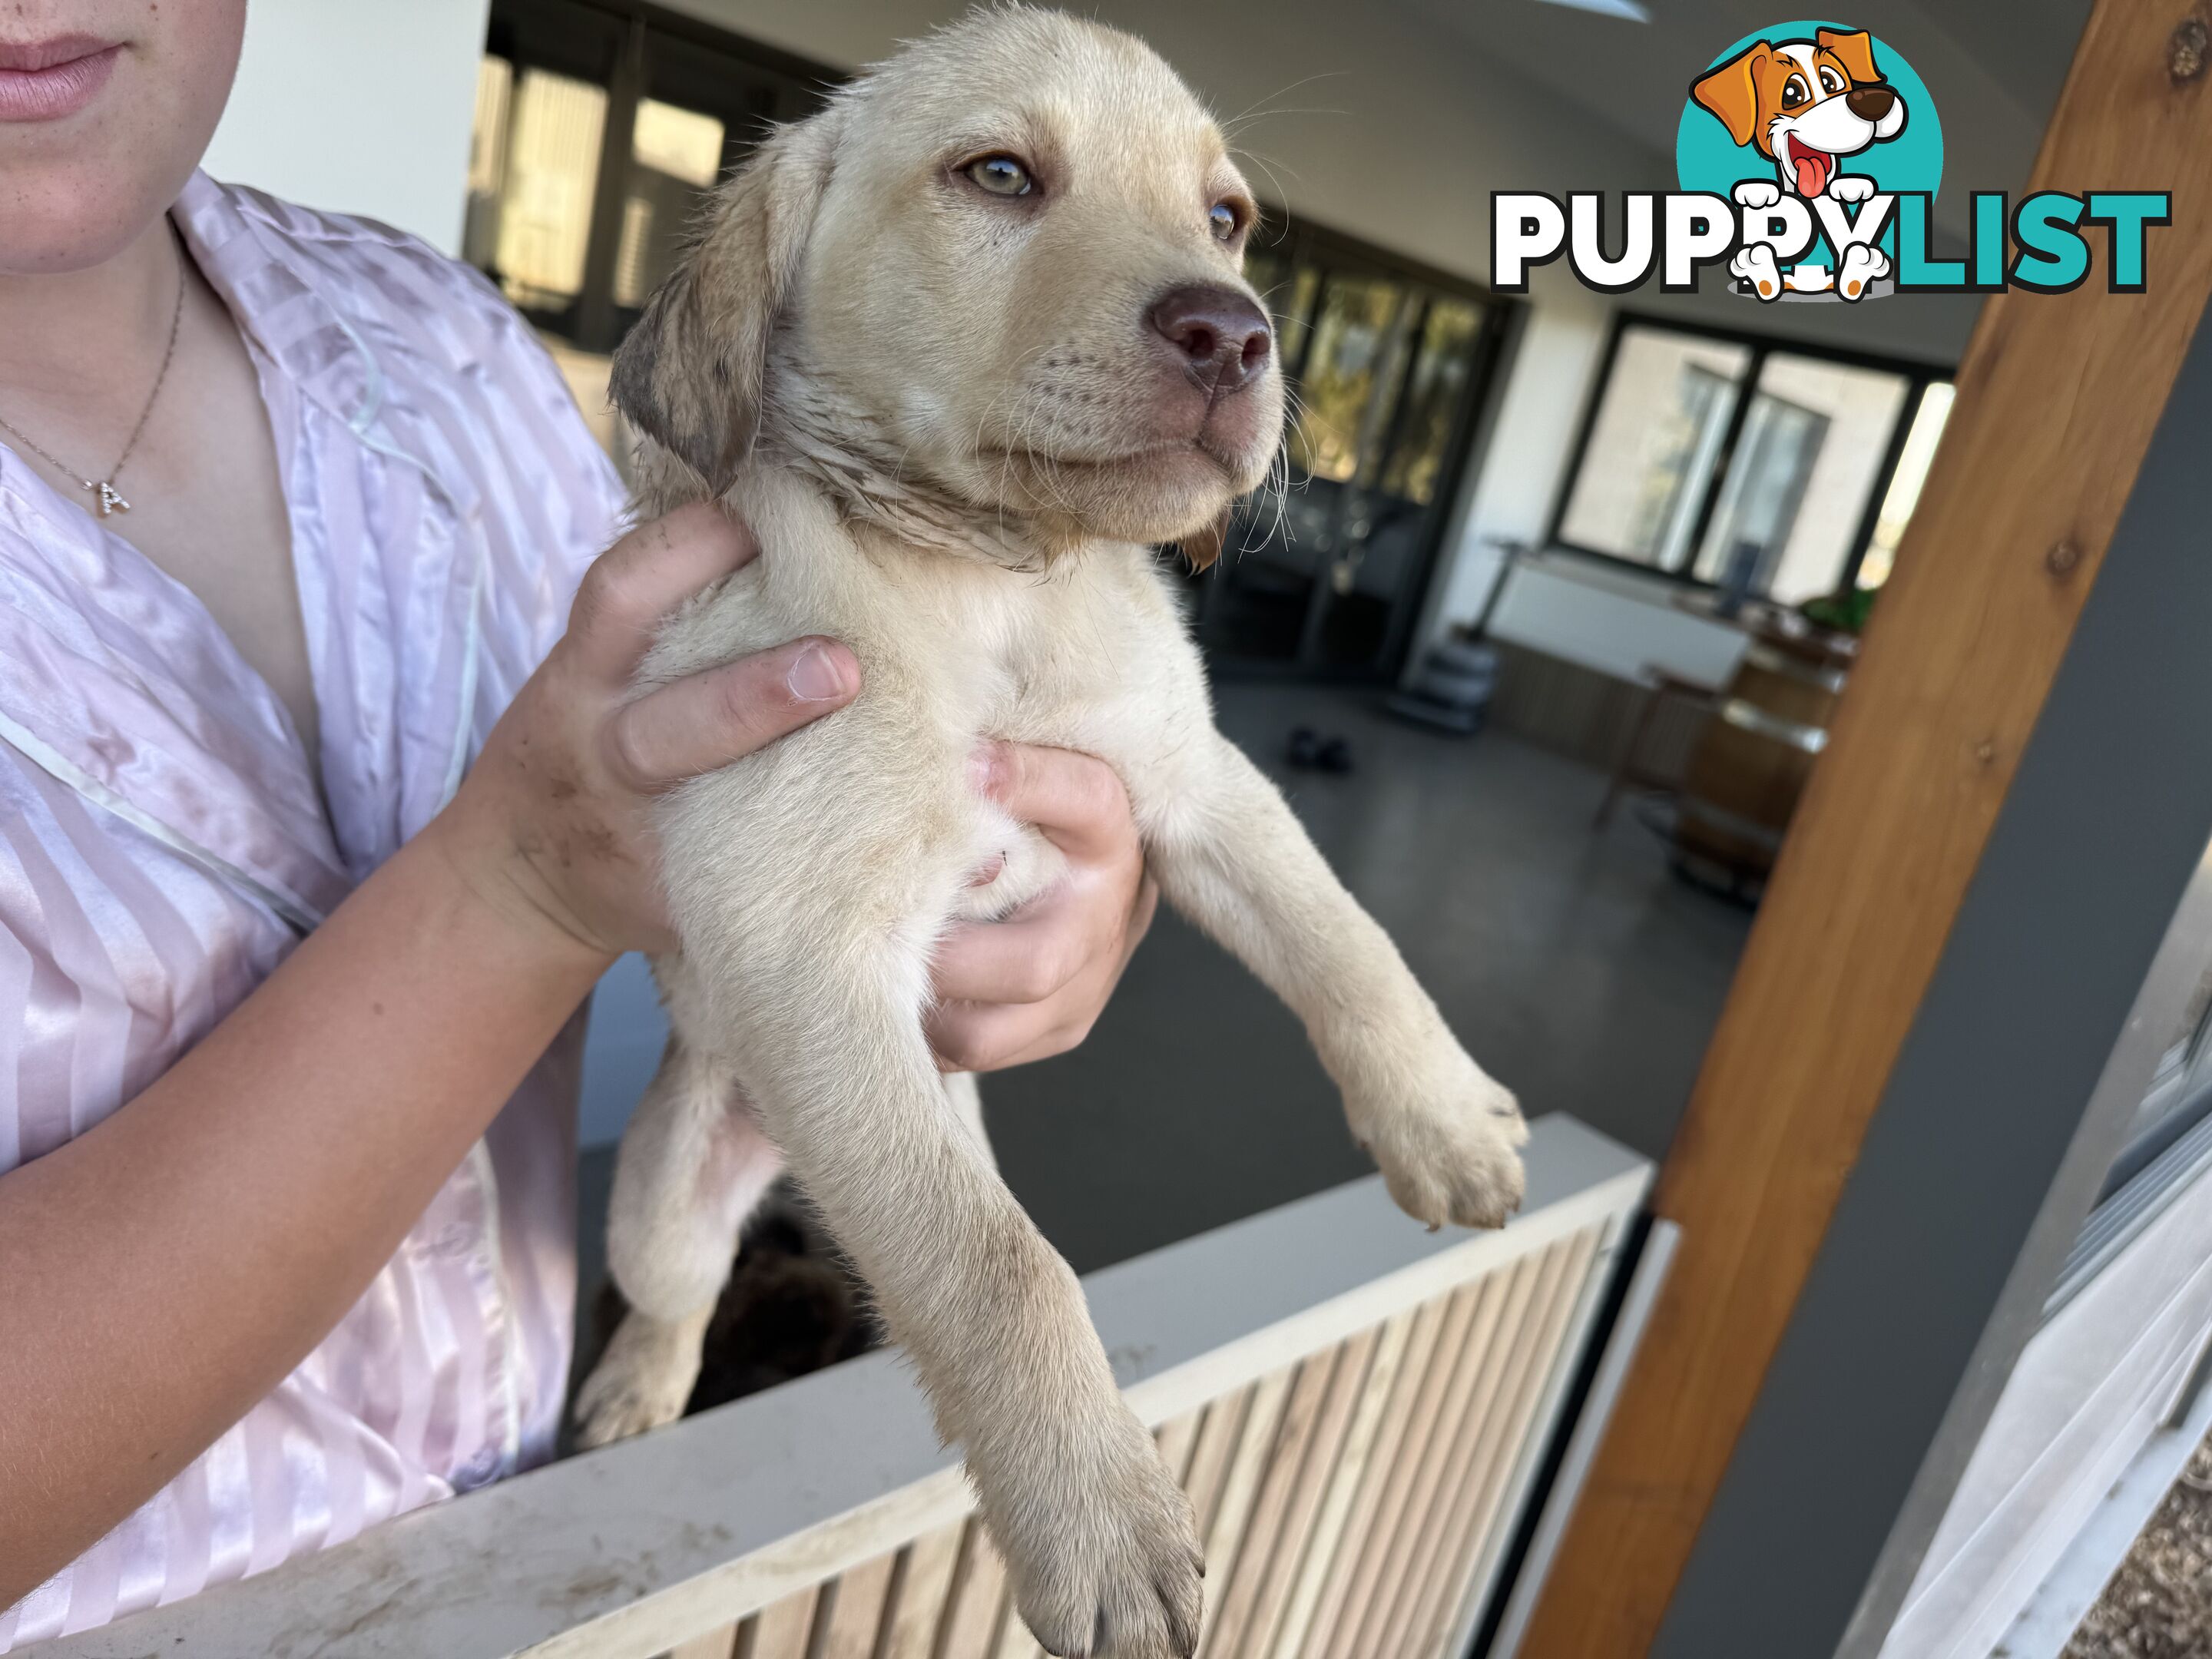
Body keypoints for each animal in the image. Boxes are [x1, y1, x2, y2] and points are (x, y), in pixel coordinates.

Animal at [579, 6, 1530, 1654]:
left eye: (1228, 218)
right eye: (1002, 176)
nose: (1236, 334)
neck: (997, 587)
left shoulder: (1199, 784)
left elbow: (1351, 945)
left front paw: (1447, 1122)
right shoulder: (801, 941)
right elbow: (998, 1266)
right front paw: (1099, 1522)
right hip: (670, 1192)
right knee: (683, 1291)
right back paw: (639, 1388)